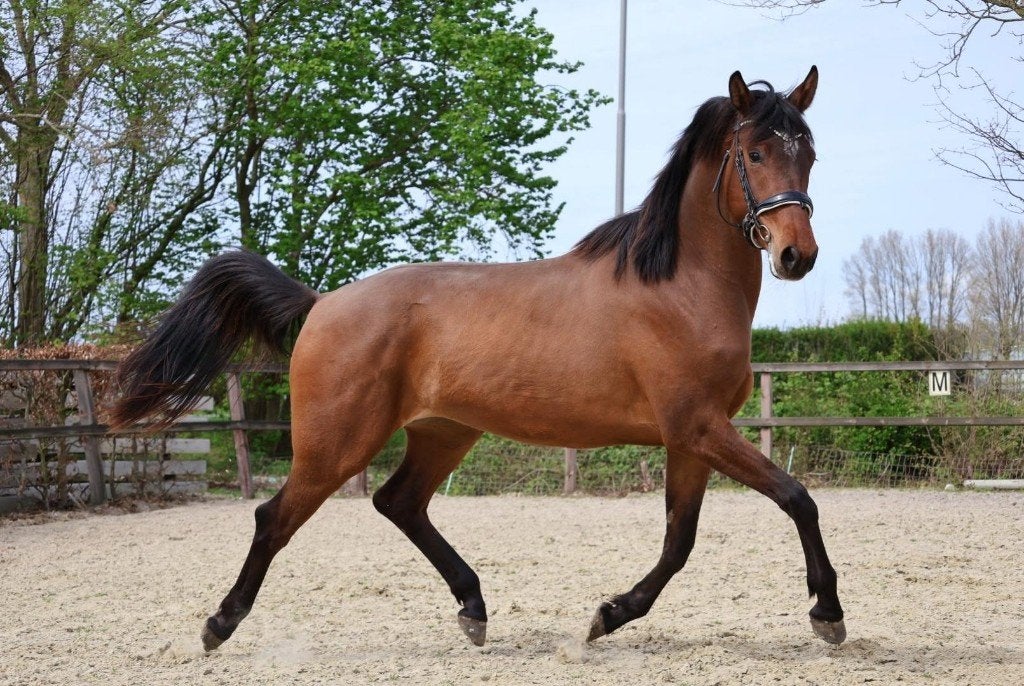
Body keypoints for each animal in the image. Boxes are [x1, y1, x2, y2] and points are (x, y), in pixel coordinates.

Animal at [110, 66, 846, 652]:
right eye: (755, 152)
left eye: (810, 152)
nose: (797, 255)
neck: (680, 287)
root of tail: (322, 303)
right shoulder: (698, 426)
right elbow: (797, 498)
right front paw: (828, 612)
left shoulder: (690, 437)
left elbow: (679, 542)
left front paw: (609, 615)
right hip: (337, 442)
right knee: (276, 517)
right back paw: (219, 624)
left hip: (444, 431)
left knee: (398, 502)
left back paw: (473, 608)